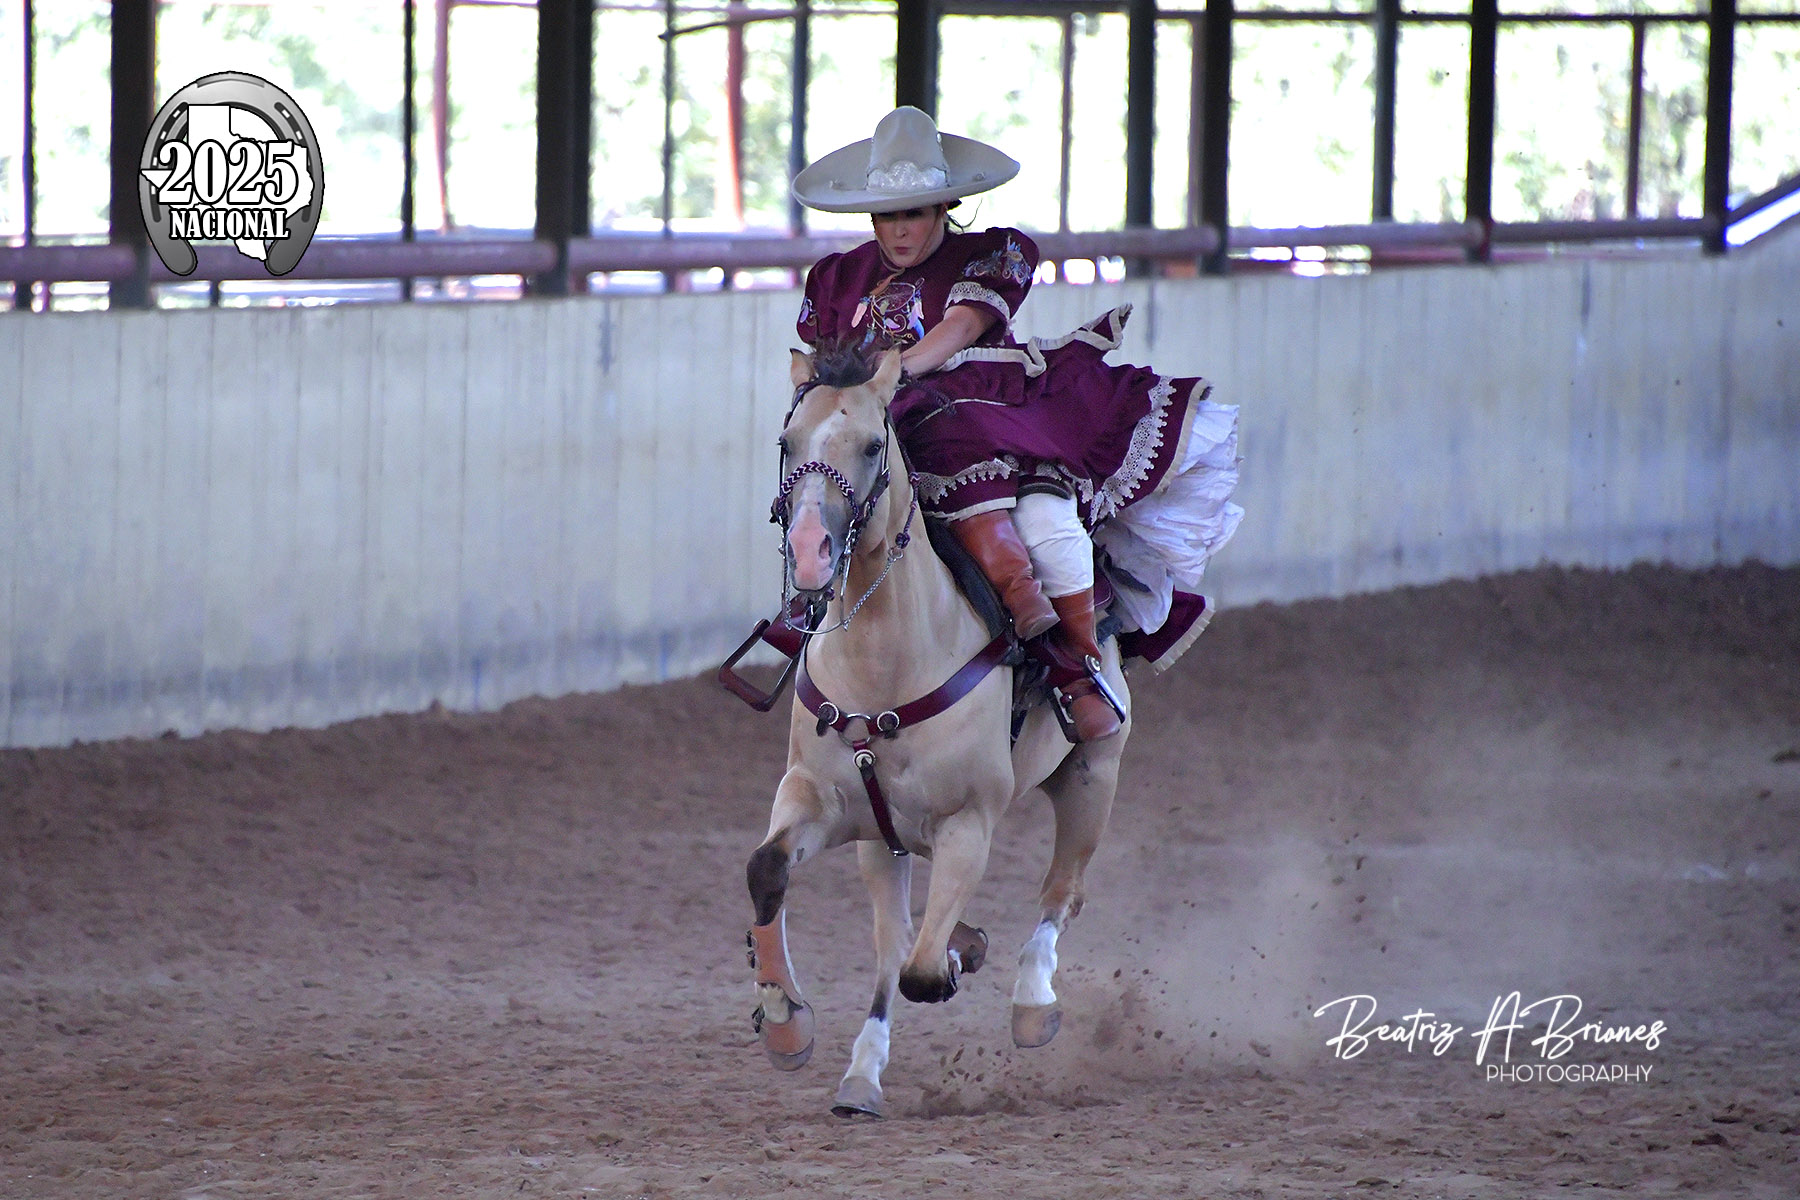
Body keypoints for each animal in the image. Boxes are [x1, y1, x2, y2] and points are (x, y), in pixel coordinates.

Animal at [739, 344, 1132, 1118]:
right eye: (787, 443)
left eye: (871, 445)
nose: (810, 550)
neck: (885, 665)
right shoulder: (820, 800)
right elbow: (770, 871)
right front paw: (785, 1021)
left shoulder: (967, 824)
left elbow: (922, 969)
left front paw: (957, 957)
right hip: (883, 841)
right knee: (894, 941)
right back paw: (862, 1077)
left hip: (1091, 776)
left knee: (1060, 892)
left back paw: (1031, 1005)